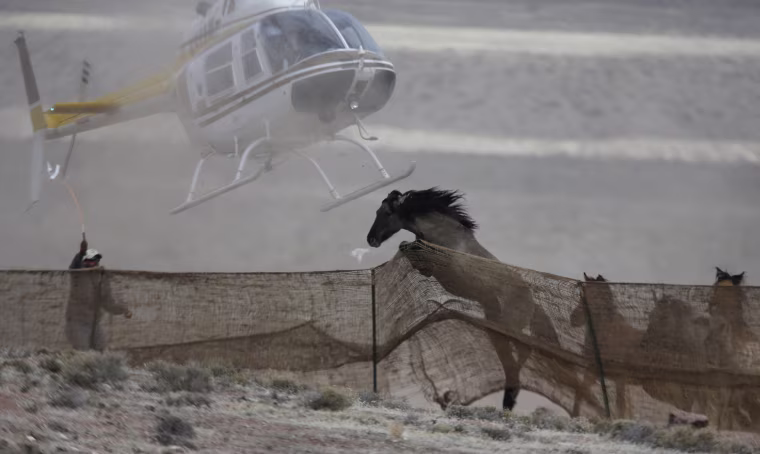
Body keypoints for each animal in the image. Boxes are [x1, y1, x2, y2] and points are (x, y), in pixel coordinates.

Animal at [366, 188, 560, 412]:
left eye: (387, 212)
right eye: (377, 211)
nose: (371, 239)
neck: (444, 232)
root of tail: (531, 301)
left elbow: (407, 247)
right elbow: (407, 247)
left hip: (510, 327)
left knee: (522, 352)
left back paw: (510, 399)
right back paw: (509, 399)